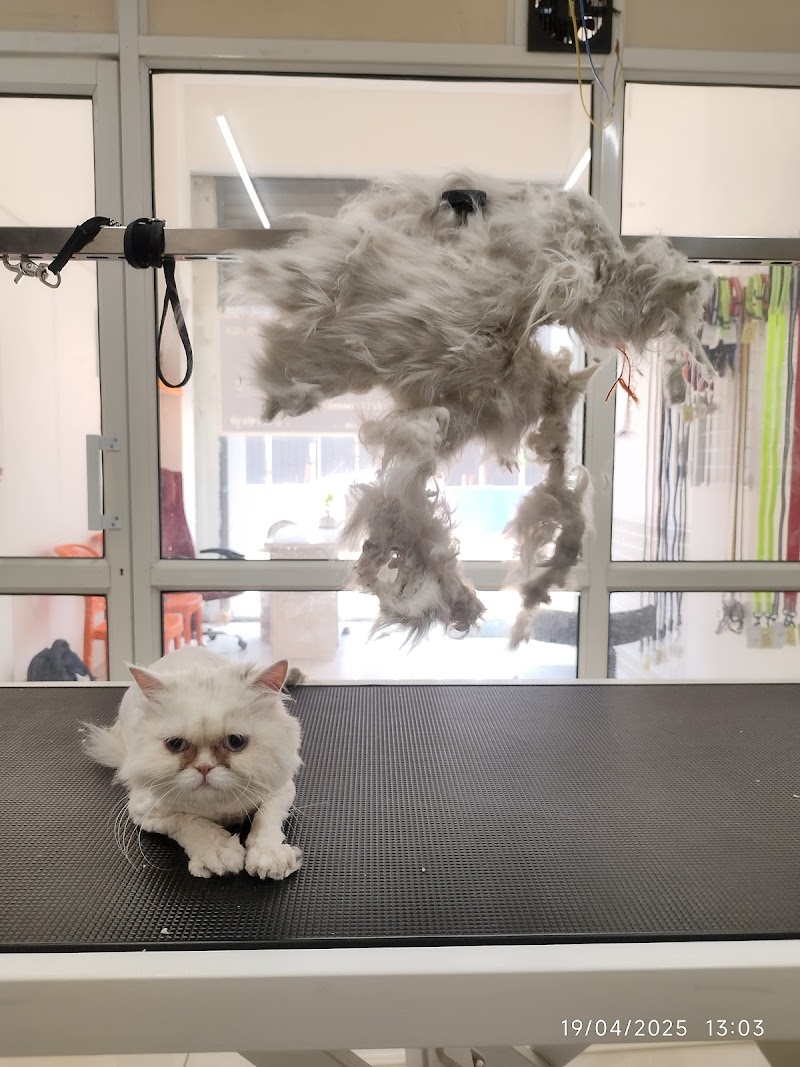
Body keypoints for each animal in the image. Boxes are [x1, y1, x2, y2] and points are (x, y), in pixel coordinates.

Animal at [83, 645, 303, 880]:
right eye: (176, 744)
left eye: (235, 742)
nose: (204, 767)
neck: (219, 810)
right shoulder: (147, 812)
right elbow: (193, 823)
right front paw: (218, 853)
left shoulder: (281, 790)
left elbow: (266, 819)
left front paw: (269, 856)